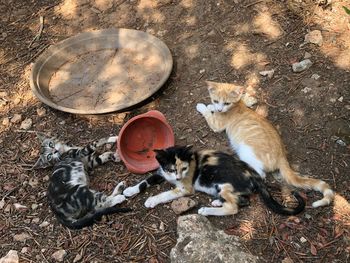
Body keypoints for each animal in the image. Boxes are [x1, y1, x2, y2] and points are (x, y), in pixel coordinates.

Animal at [123, 146, 304, 217]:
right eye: (172, 169)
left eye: (184, 168)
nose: (178, 178)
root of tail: (254, 175)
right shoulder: (161, 172)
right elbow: (145, 181)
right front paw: (130, 190)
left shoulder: (185, 188)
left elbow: (166, 193)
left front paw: (152, 200)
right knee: (244, 200)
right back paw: (217, 202)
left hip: (223, 184)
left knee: (233, 208)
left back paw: (206, 210)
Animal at [197, 81, 334, 209]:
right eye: (216, 100)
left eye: (226, 103)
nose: (220, 109)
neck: (237, 105)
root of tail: (282, 155)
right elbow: (212, 109)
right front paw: (211, 106)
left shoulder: (216, 125)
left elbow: (208, 114)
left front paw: (203, 106)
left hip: (246, 150)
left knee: (260, 175)